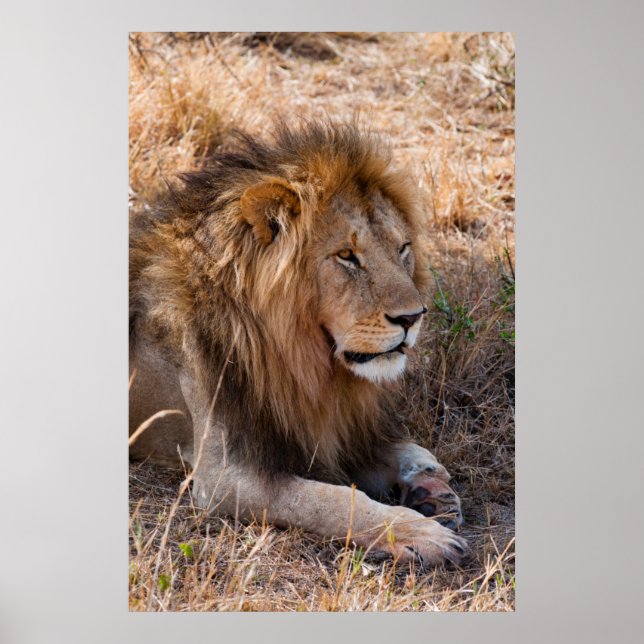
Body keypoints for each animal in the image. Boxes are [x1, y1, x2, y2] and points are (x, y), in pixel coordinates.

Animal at [129, 120, 467, 566]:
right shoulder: (225, 478)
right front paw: (418, 531)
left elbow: (414, 452)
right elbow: (333, 500)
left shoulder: (330, 427)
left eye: (403, 248)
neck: (305, 364)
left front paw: (431, 489)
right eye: (347, 256)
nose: (412, 318)